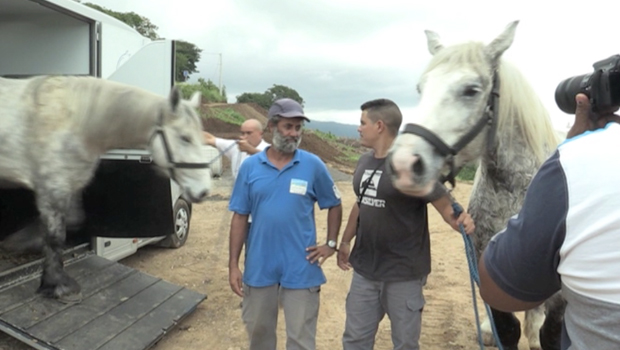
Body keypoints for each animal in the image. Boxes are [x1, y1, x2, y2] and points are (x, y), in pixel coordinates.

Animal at [0, 75, 212, 302]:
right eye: (185, 138)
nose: (204, 190)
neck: (74, 120)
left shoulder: (67, 189)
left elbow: (69, 224)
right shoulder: (51, 188)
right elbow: (55, 237)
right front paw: (57, 285)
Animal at [388, 20, 568, 348]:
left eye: (471, 90)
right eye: (421, 89)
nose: (404, 164)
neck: (516, 194)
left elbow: (551, 333)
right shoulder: (488, 269)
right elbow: (506, 329)